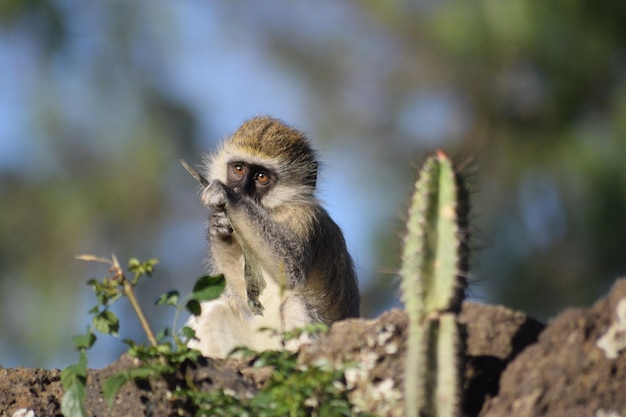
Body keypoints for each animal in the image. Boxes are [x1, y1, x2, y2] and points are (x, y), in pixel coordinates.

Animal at [185, 115, 358, 356]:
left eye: (261, 177)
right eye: (238, 169)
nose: (240, 191)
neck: (272, 212)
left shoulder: (305, 217)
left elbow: (290, 269)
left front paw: (227, 197)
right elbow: (248, 294)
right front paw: (218, 226)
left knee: (293, 305)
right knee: (213, 308)